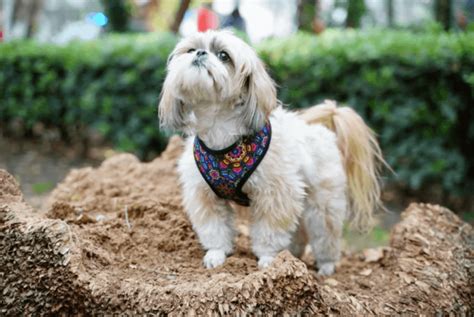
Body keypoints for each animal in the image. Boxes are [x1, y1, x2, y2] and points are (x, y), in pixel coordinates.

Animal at [159, 30, 386, 276]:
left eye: (223, 55)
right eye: (190, 50)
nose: (200, 53)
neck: (222, 136)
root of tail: (322, 130)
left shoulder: (275, 194)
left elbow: (270, 230)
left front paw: (269, 259)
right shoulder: (204, 195)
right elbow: (215, 228)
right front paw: (216, 254)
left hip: (323, 202)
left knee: (325, 234)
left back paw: (325, 265)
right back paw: (292, 255)